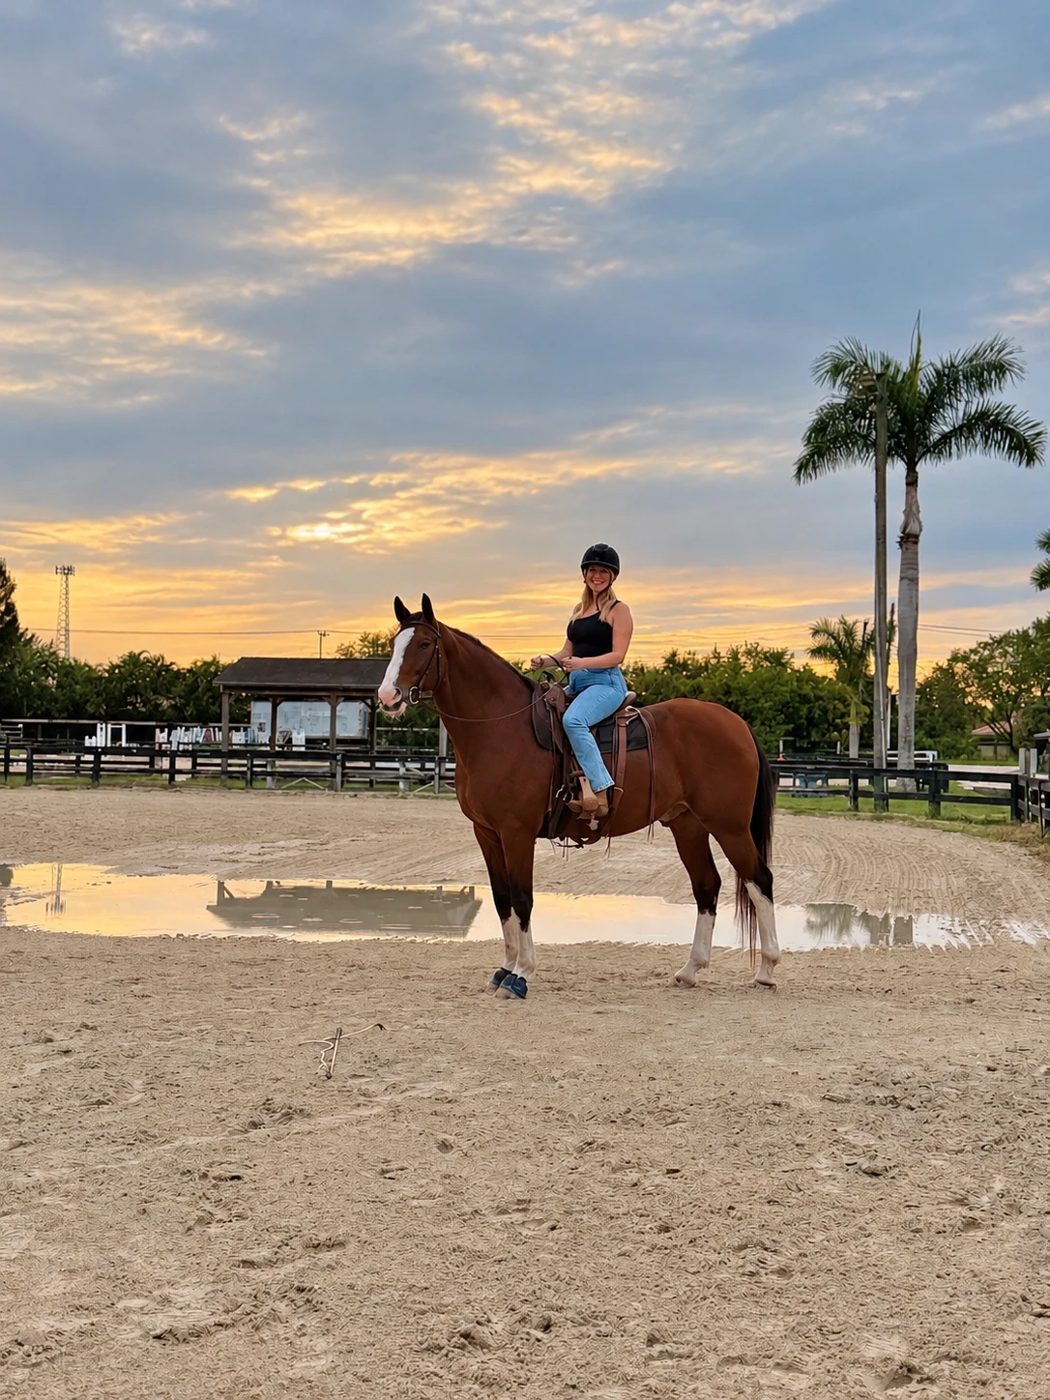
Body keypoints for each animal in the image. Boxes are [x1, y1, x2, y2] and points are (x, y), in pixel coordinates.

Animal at [377, 595, 780, 1000]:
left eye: (424, 644)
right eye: (395, 644)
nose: (388, 696)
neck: (501, 727)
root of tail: (738, 724)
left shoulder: (516, 833)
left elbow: (522, 898)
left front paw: (520, 974)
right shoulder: (487, 833)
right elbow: (502, 898)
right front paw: (504, 968)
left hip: (729, 827)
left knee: (759, 880)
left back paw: (766, 970)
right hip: (688, 826)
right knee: (706, 886)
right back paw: (690, 970)